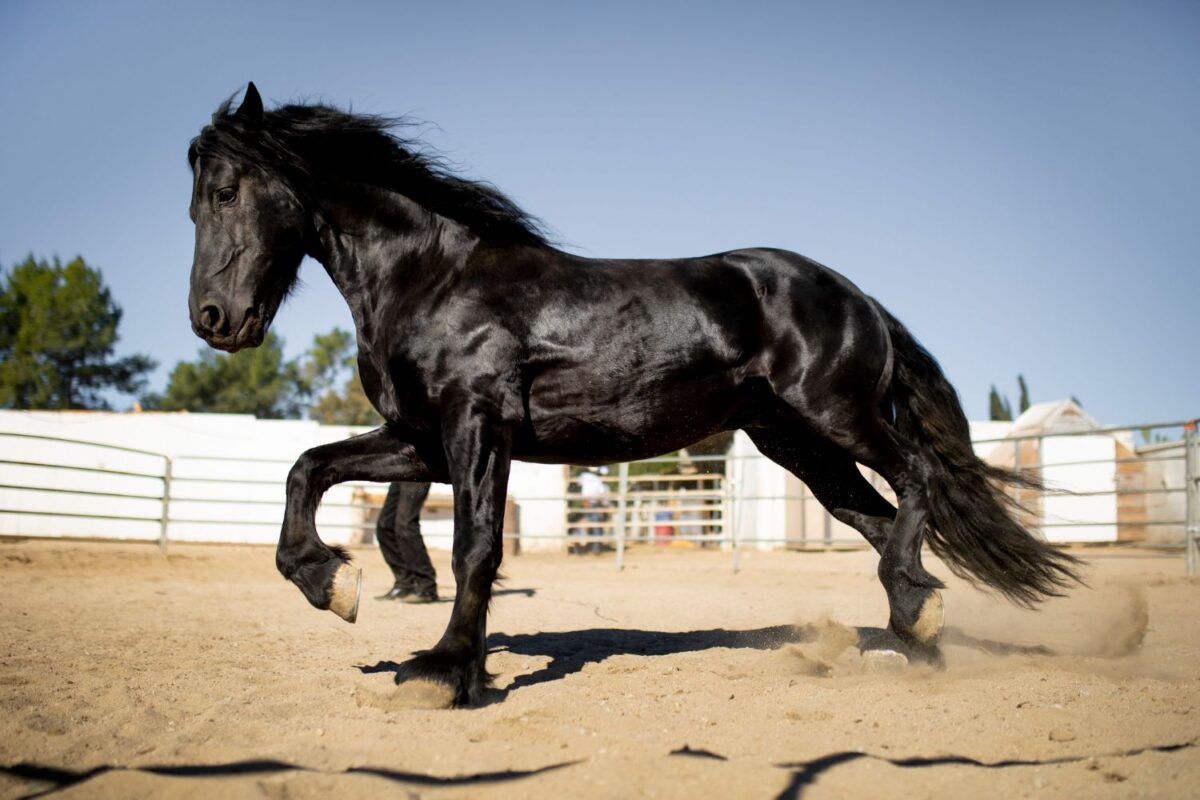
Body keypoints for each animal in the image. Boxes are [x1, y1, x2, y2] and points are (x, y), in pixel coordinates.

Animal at [186, 83, 1079, 706]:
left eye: (226, 192)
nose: (214, 319)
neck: (432, 278)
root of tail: (854, 295)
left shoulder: (477, 429)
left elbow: (477, 546)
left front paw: (443, 671)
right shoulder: (424, 442)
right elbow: (308, 467)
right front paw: (330, 586)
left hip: (839, 417)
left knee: (916, 479)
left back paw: (913, 618)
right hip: (796, 444)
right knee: (879, 517)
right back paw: (913, 631)